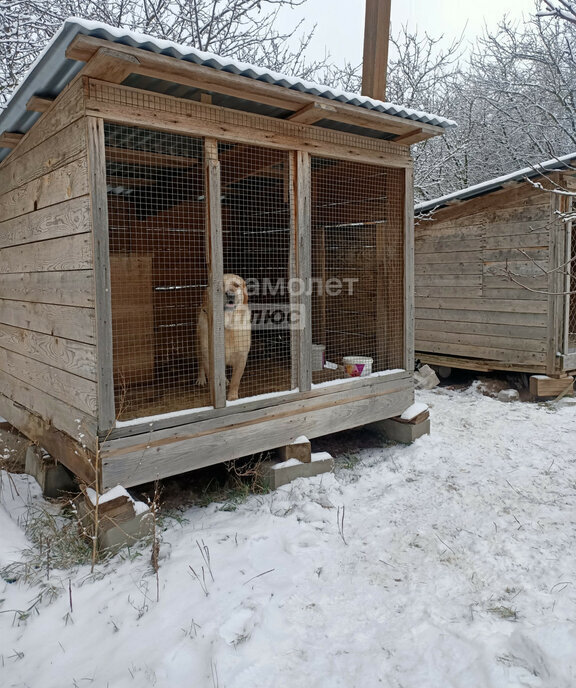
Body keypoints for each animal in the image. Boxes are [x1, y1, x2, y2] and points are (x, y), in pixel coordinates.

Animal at [197, 274, 251, 404]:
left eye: (236, 285)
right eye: (219, 286)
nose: (230, 294)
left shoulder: (242, 357)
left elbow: (235, 380)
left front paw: (232, 397)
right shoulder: (208, 357)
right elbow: (212, 380)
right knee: (200, 361)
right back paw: (201, 378)